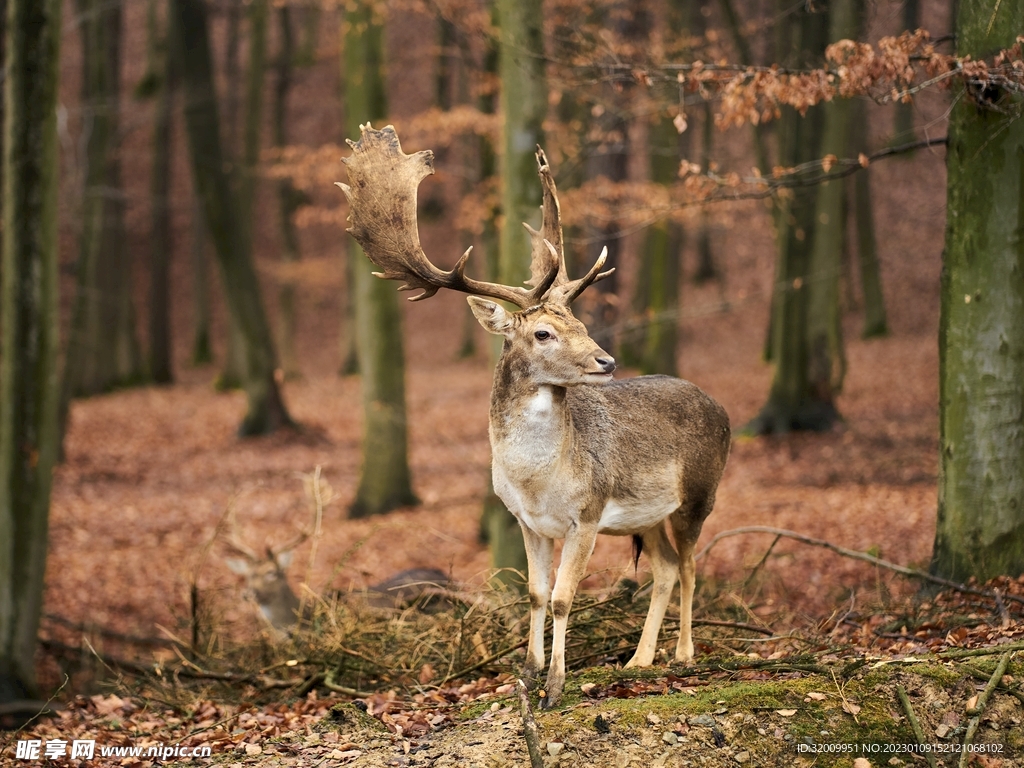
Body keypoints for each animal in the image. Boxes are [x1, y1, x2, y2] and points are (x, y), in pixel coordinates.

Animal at [338, 125, 731, 707]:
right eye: (544, 332)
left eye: (581, 323)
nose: (606, 361)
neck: (536, 479)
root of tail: (722, 408)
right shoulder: (526, 521)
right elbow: (536, 594)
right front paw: (526, 674)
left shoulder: (587, 512)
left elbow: (567, 598)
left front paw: (555, 686)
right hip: (647, 516)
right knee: (662, 569)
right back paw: (638, 660)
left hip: (700, 494)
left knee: (688, 566)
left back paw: (682, 655)